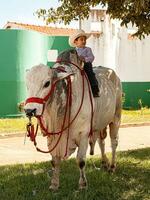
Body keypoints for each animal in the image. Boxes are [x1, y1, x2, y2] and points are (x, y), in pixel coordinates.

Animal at [24, 49, 122, 190]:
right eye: (27, 85)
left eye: (47, 83)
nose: (29, 110)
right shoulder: (53, 136)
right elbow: (55, 161)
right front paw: (54, 184)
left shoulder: (83, 134)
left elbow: (80, 161)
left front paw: (82, 184)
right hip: (99, 124)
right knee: (101, 141)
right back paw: (104, 163)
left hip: (116, 117)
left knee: (114, 142)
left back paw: (112, 167)